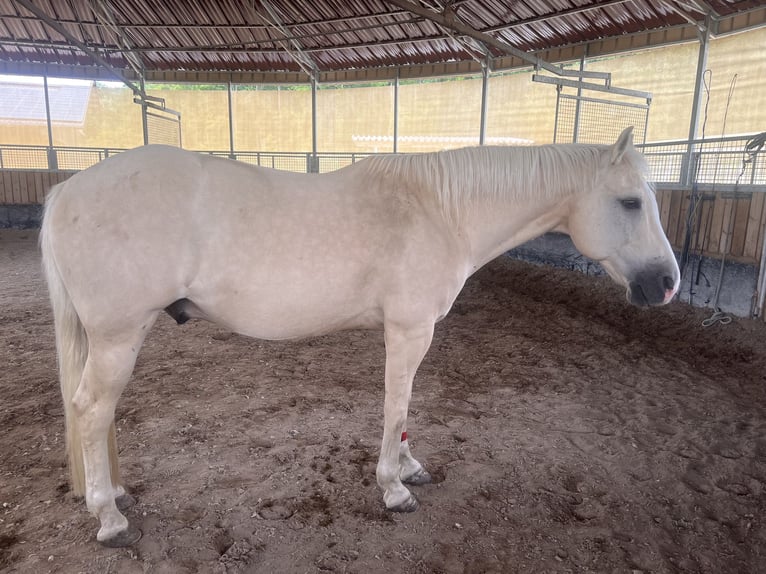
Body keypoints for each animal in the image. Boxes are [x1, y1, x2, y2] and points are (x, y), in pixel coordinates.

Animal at [40, 126, 679, 547]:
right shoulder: (410, 330)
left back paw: (116, 494)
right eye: (630, 202)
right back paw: (110, 518)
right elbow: (397, 403)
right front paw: (394, 488)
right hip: (119, 337)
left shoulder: (411, 331)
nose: (667, 283)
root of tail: (67, 192)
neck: (440, 210)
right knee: (92, 411)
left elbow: (406, 408)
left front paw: (411, 466)